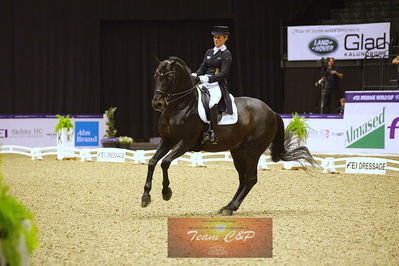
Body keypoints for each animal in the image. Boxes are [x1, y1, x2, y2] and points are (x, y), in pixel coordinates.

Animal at [142, 56, 318, 216]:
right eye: (156, 76)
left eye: (170, 77)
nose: (157, 103)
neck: (180, 106)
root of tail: (271, 111)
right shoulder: (167, 140)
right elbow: (152, 162)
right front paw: (145, 197)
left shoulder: (185, 143)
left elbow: (165, 162)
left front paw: (166, 193)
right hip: (238, 151)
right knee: (243, 179)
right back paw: (227, 206)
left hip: (253, 151)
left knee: (250, 179)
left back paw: (230, 208)